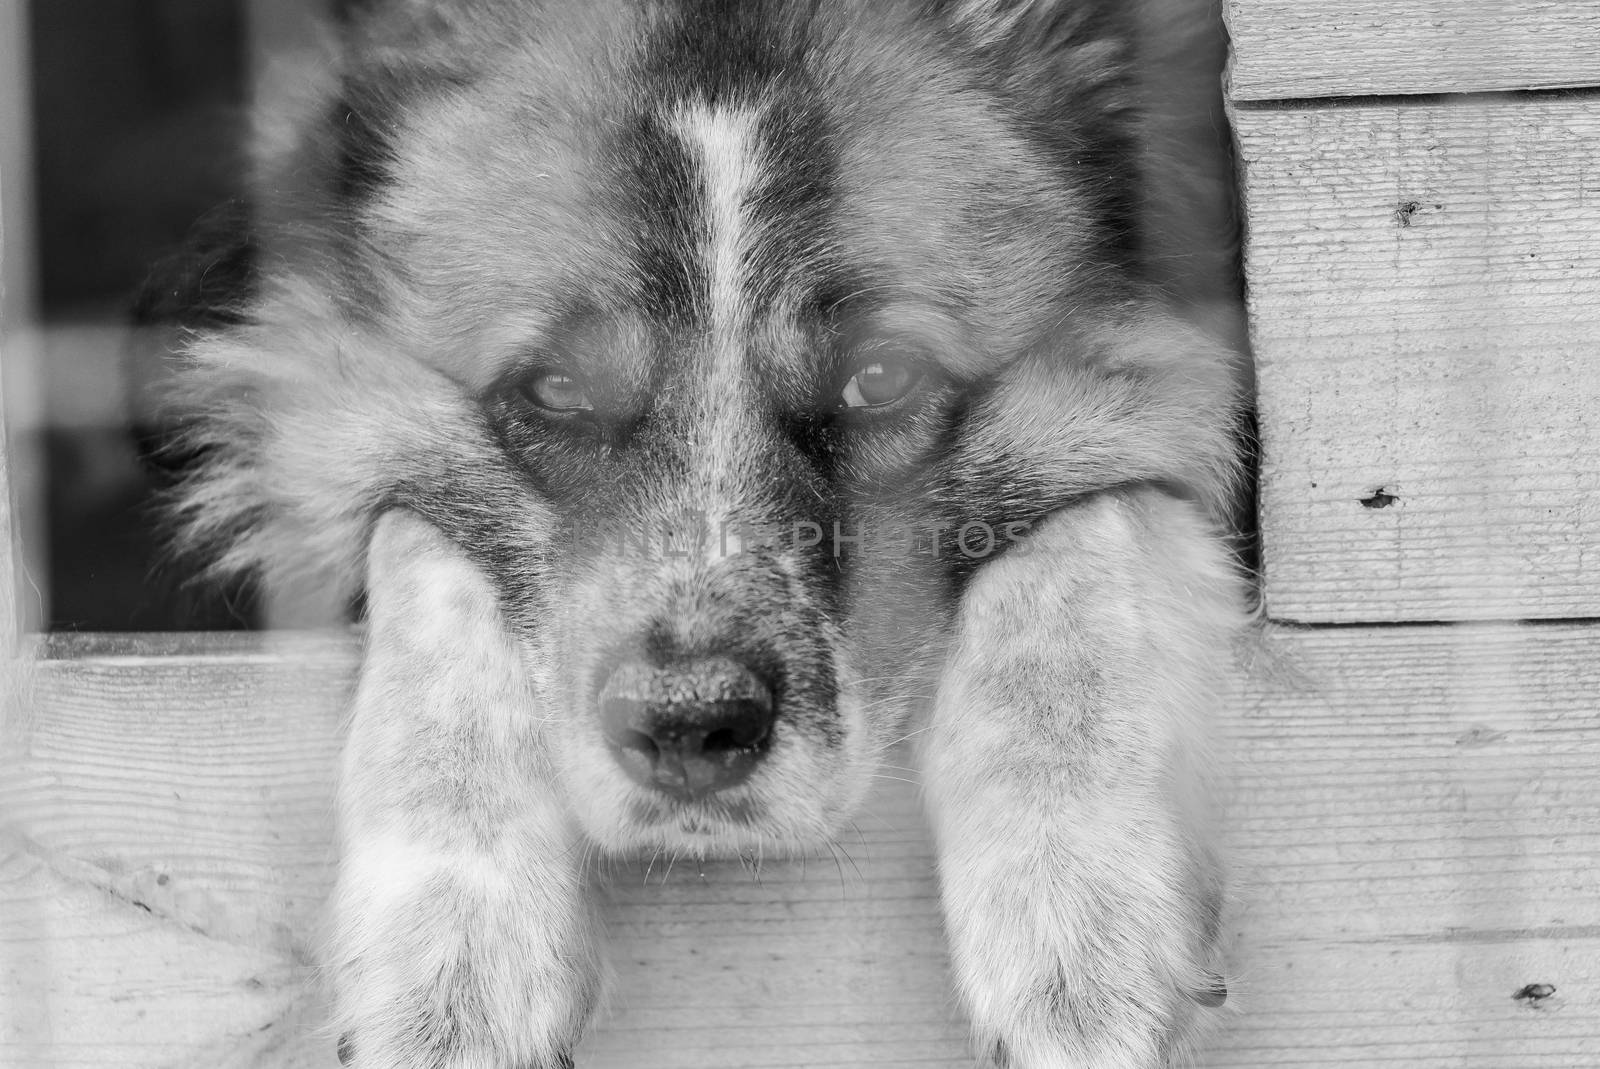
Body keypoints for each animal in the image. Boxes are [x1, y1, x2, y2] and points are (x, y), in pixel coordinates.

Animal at [168, 2, 1254, 1069]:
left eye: (882, 378)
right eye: (554, 389)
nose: (690, 726)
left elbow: (1075, 558)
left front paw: (1076, 902)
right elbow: (420, 555)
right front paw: (453, 938)